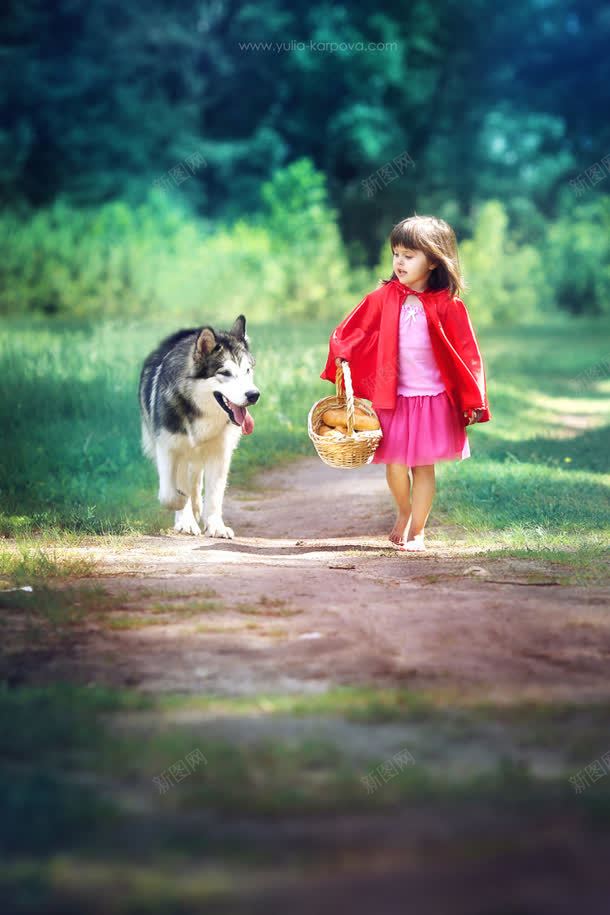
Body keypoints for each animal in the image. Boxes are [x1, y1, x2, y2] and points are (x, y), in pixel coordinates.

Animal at [139, 318, 258, 540]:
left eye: (247, 370)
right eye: (225, 373)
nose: (254, 395)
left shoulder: (220, 454)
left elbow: (214, 496)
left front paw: (215, 526)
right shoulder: (168, 448)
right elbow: (170, 493)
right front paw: (183, 513)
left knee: (195, 482)